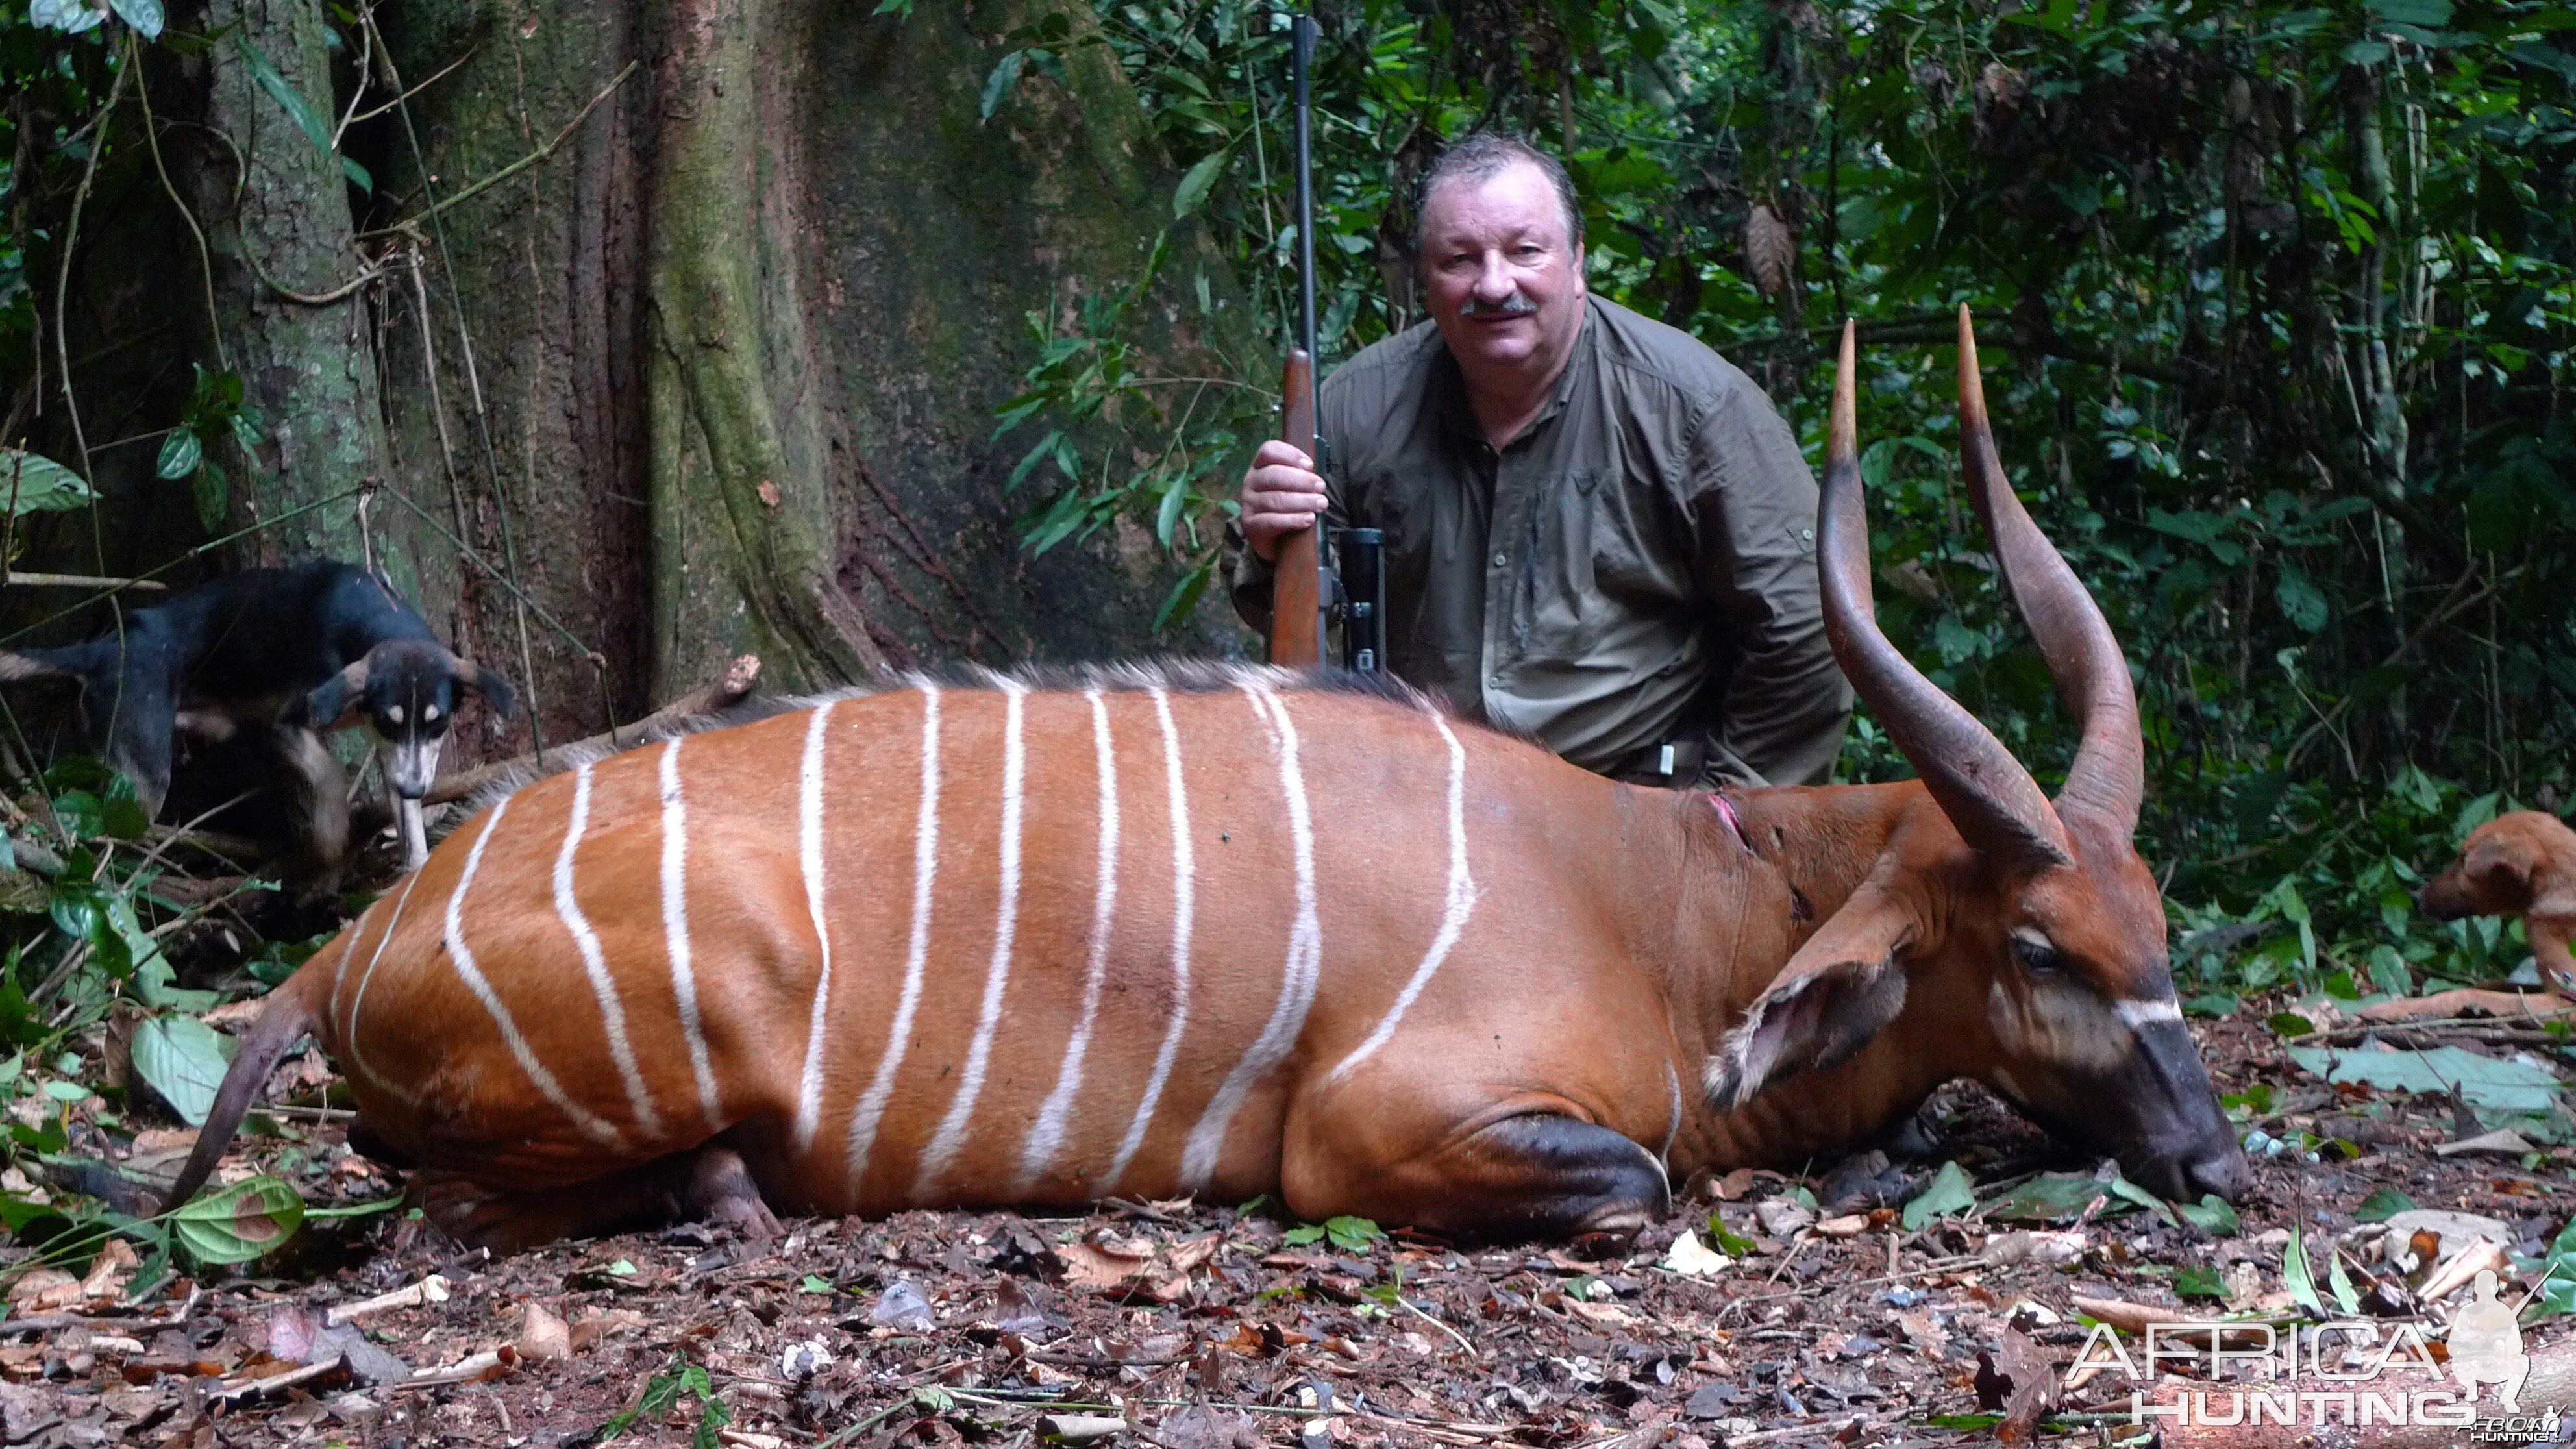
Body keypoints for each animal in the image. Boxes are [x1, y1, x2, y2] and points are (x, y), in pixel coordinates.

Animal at [0, 559, 512, 861]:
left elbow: (410, 825)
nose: (413, 787)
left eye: (439, 725)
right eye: (389, 720)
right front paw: (330, 836)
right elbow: (330, 776)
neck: (376, 618)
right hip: (144, 776)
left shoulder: (398, 753)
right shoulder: (291, 723)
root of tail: (104, 649)